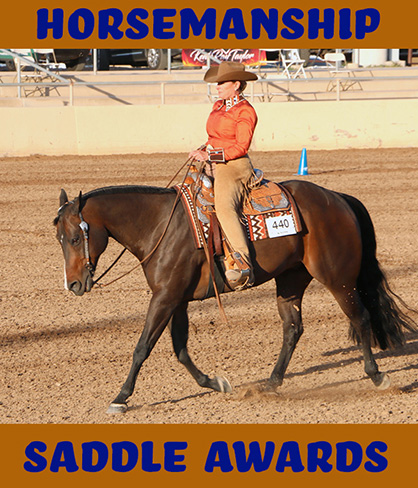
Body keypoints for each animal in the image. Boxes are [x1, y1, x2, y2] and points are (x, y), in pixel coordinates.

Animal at [53, 181, 414, 414]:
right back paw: (271, 383)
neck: (159, 227)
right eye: (58, 238)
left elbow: (143, 347)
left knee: (361, 317)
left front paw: (121, 397)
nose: (74, 285)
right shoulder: (176, 299)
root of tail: (337, 197)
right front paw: (216, 382)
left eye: (75, 238)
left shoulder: (165, 298)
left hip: (338, 278)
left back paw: (377, 375)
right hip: (291, 279)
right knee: (293, 328)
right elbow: (180, 349)